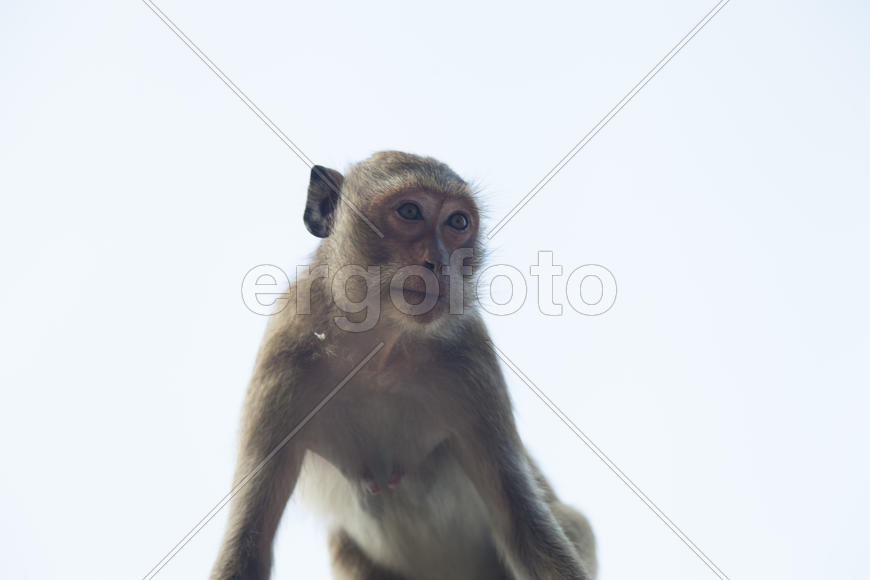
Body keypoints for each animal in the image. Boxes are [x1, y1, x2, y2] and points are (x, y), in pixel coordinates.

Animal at [211, 151, 597, 580]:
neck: (378, 350)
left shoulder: (472, 357)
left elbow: (524, 527)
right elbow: (249, 545)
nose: (440, 262)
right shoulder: (284, 354)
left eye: (457, 222)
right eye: (410, 211)